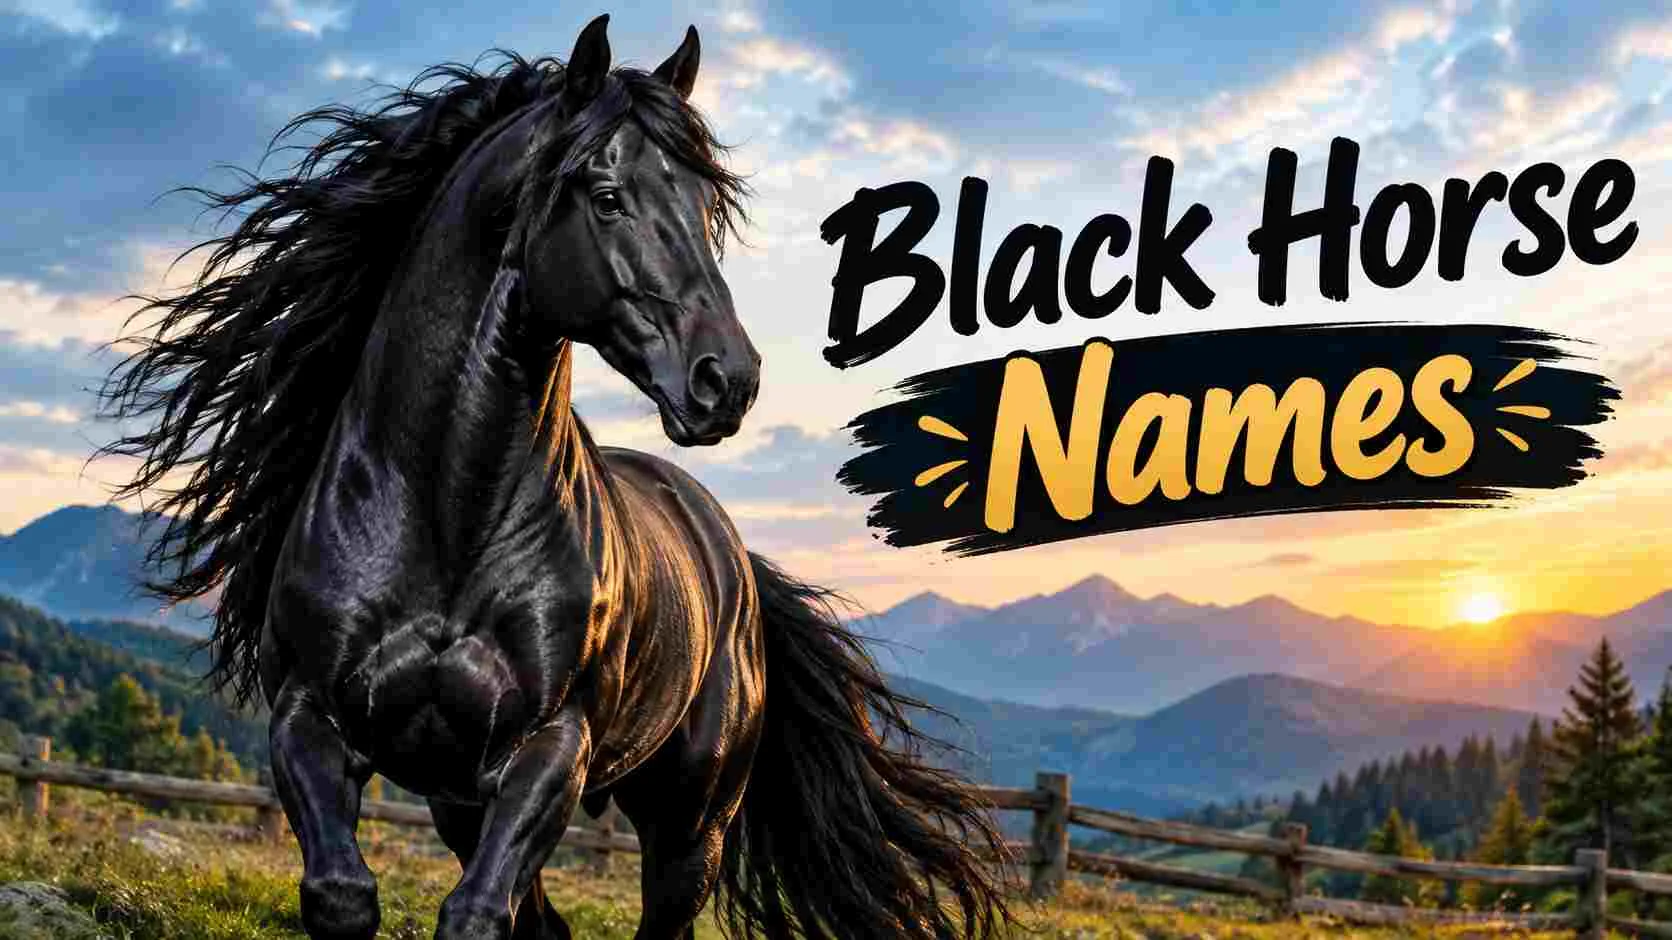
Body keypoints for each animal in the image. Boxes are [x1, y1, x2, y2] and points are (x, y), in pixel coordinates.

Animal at [98, 15, 1012, 940]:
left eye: (706, 209)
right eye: (606, 197)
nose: (727, 381)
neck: (444, 518)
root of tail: (731, 557)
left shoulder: (548, 749)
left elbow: (473, 916)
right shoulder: (311, 721)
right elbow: (343, 894)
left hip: (691, 824)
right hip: (461, 805)